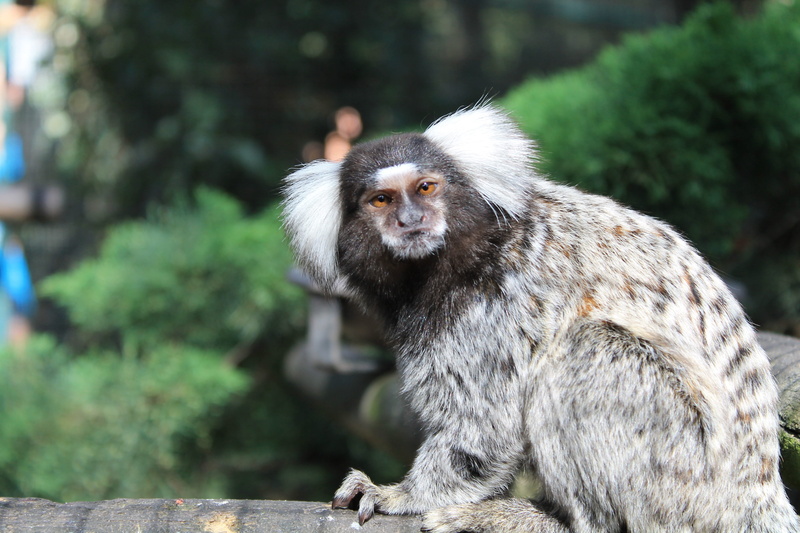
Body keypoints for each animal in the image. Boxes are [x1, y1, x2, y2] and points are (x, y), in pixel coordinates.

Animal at [281, 104, 800, 532]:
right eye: (381, 201)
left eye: (425, 188)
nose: (411, 221)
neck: (463, 255)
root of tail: (757, 494)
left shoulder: (493, 307)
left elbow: (482, 429)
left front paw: (400, 494)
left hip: (685, 475)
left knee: (586, 347)